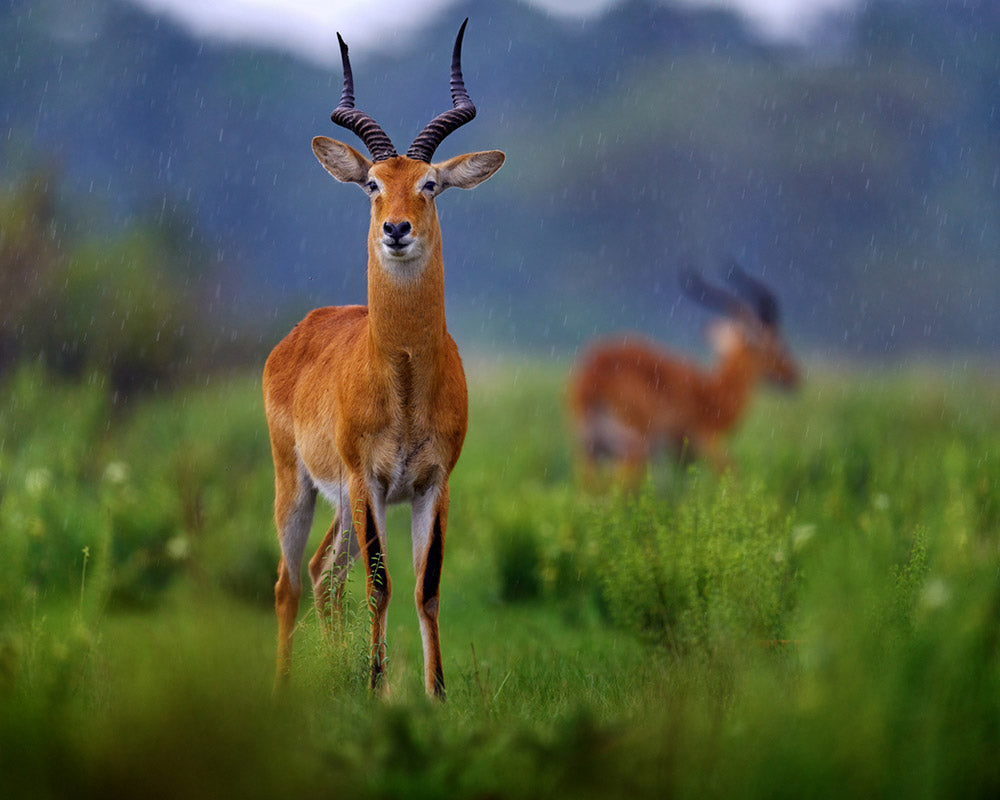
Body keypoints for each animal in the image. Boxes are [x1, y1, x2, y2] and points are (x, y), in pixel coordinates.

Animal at [263, 19, 504, 698]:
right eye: (373, 183)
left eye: (430, 184)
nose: (397, 229)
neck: (404, 382)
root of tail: (302, 330)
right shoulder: (369, 477)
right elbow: (381, 583)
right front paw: (377, 689)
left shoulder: (433, 483)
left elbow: (426, 587)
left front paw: (436, 694)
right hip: (301, 485)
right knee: (290, 581)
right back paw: (285, 689)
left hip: (344, 501)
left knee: (324, 571)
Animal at [568, 265, 799, 485]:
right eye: (777, 347)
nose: (794, 378)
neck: (716, 394)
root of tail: (593, 376)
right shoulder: (709, 443)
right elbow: (733, 477)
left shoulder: (681, 459)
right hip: (633, 449)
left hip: (589, 451)